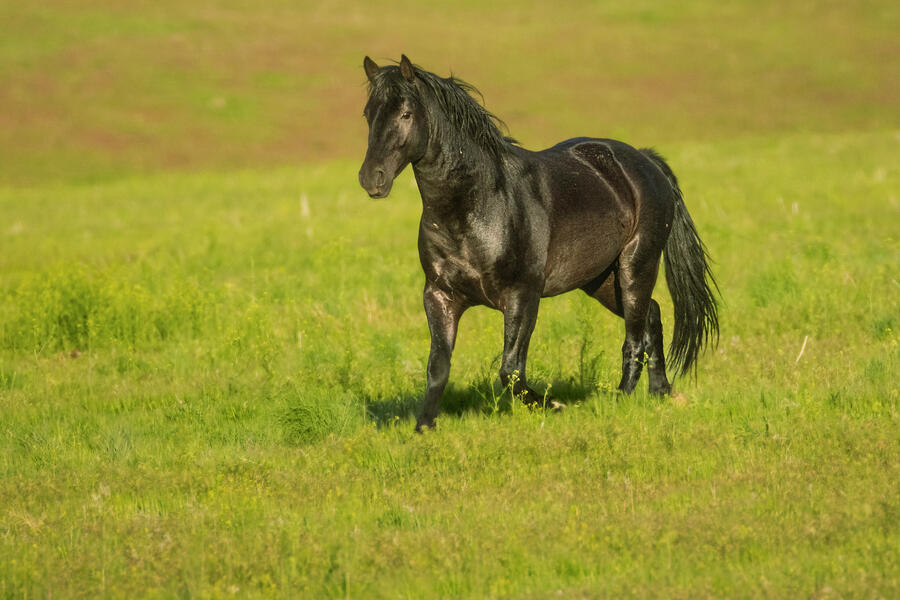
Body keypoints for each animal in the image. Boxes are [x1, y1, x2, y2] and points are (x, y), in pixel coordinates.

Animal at [358, 55, 718, 431]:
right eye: (368, 113)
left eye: (406, 114)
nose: (372, 178)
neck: (479, 206)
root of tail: (647, 161)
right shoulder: (439, 295)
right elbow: (438, 367)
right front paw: (424, 427)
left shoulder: (523, 296)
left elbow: (510, 371)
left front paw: (555, 405)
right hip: (602, 281)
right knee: (652, 315)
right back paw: (663, 393)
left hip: (636, 264)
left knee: (634, 338)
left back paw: (620, 401)